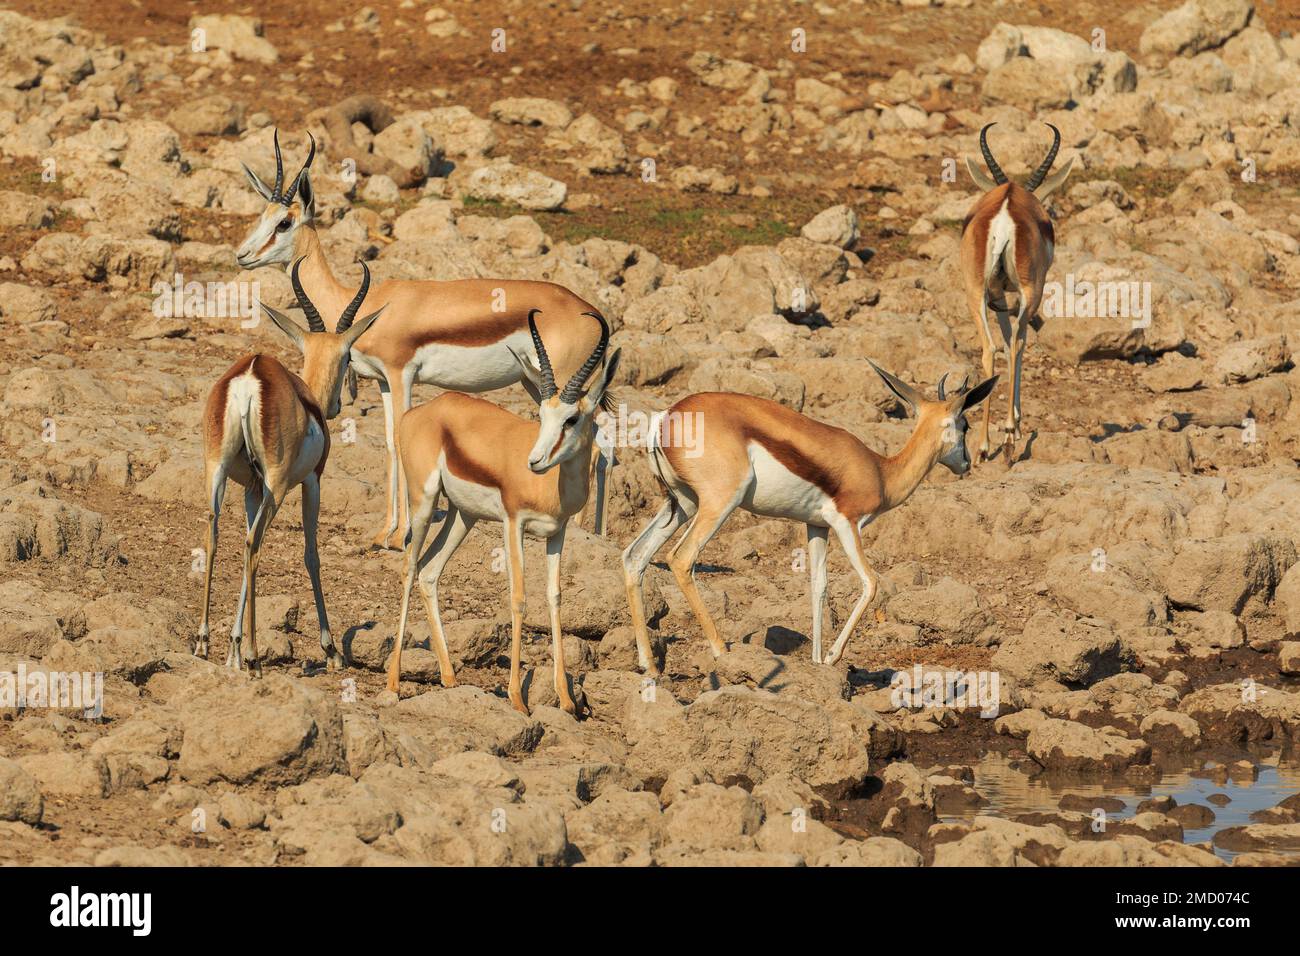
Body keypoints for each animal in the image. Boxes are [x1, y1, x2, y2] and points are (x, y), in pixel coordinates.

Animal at [195, 258, 385, 673]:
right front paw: (331, 650)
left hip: (217, 472)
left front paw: (232, 649)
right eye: (349, 357)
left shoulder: (250, 489)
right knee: (254, 545)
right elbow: (312, 555)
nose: (337, 405)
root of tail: (251, 375)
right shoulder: (311, 482)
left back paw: (202, 643)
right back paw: (254, 658)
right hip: (278, 486)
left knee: (215, 536)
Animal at [235, 131, 614, 551]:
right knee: (598, 437)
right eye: (261, 216)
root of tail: (591, 310)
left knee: (599, 443)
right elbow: (388, 442)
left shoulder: (402, 375)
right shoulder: (383, 382)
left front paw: (401, 535)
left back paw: (583, 530)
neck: (368, 302)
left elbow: (401, 440)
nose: (242, 255)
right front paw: (383, 533)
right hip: (537, 384)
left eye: (284, 222)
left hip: (563, 382)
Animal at [385, 312, 619, 715]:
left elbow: (555, 596)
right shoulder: (514, 524)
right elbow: (519, 597)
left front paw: (566, 699)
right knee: (409, 568)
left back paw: (449, 677)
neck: (551, 486)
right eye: (541, 413)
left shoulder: (557, 533)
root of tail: (421, 412)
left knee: (429, 572)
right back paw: (394, 683)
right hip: (425, 502)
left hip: (462, 516)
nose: (534, 461)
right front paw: (517, 698)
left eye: (571, 418)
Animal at [622, 365, 996, 671]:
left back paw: (648, 665)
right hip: (718, 504)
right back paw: (721, 651)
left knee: (634, 556)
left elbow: (819, 586)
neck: (881, 471)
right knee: (682, 559)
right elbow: (871, 581)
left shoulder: (816, 526)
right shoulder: (847, 523)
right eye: (965, 424)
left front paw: (816, 661)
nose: (966, 463)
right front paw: (831, 657)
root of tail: (666, 416)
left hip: (682, 504)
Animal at [961, 122, 1073, 464]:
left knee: (989, 349)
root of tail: (1006, 206)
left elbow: (1006, 340)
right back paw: (1009, 440)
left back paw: (983, 447)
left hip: (975, 293)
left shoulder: (997, 297)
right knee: (1014, 345)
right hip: (1029, 293)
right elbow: (1018, 344)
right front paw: (1018, 426)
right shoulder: (1026, 294)